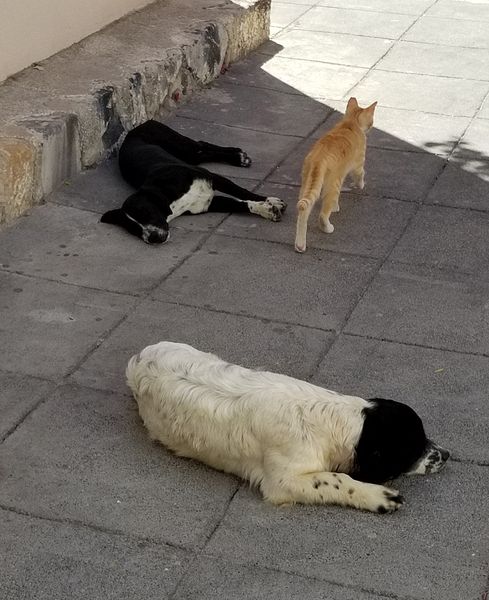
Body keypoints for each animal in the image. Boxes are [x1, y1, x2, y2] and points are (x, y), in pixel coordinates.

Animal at [100, 120, 284, 243]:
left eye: (146, 213)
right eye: (133, 229)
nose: (152, 238)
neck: (169, 196)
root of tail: (138, 126)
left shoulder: (213, 178)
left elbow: (242, 192)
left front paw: (270, 200)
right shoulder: (208, 203)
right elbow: (240, 205)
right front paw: (267, 210)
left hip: (184, 148)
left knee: (202, 145)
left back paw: (238, 156)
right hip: (189, 156)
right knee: (204, 152)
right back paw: (238, 157)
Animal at [127, 342, 450, 510]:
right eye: (414, 445)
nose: (446, 455)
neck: (332, 420)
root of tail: (140, 356)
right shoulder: (282, 481)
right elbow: (336, 479)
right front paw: (378, 496)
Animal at [294, 97, 378, 252]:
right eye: (372, 121)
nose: (371, 127)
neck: (350, 123)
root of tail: (319, 157)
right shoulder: (358, 164)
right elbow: (360, 175)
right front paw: (359, 185)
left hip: (307, 184)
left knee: (303, 209)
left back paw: (300, 245)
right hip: (333, 184)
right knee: (323, 214)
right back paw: (327, 227)